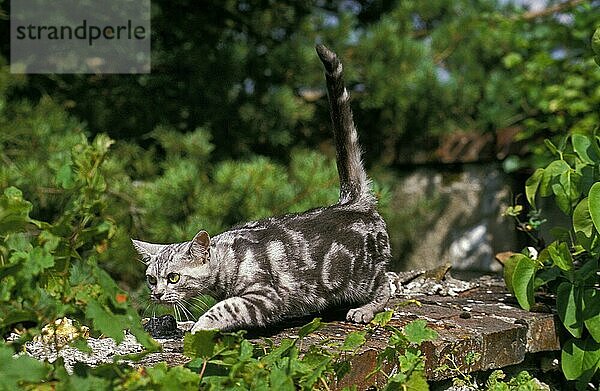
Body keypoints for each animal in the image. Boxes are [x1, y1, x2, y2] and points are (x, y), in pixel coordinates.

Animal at [132, 45, 394, 334]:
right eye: (151, 279)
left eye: (173, 277)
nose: (156, 294)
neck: (228, 259)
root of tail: (354, 201)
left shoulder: (265, 296)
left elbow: (224, 307)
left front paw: (198, 326)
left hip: (363, 277)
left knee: (387, 285)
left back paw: (364, 310)